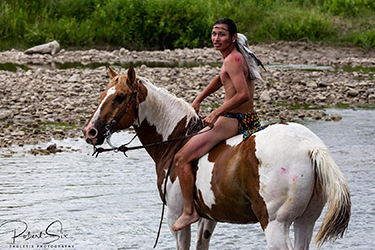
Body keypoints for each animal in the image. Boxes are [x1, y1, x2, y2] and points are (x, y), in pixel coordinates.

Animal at [83, 66, 352, 250]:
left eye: (119, 97)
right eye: (103, 94)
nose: (90, 132)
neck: (176, 139)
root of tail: (310, 147)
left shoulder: (176, 217)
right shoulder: (208, 219)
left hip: (275, 223)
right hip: (306, 220)